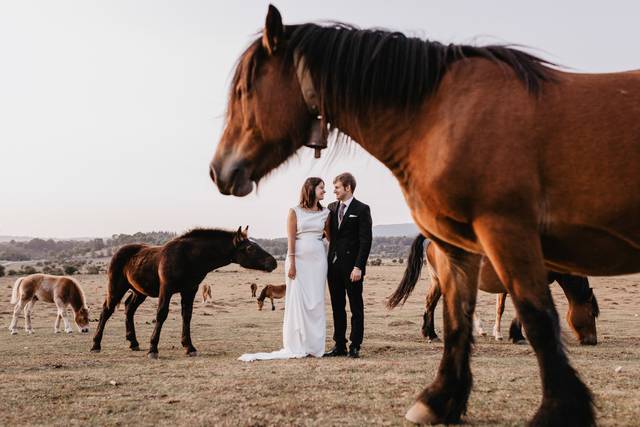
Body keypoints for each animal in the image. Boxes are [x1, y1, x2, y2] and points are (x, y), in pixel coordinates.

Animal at [91, 226, 276, 360]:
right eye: (250, 248)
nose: (273, 262)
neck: (188, 257)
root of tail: (120, 251)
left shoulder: (190, 290)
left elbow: (187, 315)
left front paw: (189, 347)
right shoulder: (166, 289)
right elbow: (161, 314)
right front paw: (153, 349)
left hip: (139, 291)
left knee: (129, 308)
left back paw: (133, 342)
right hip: (116, 287)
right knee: (106, 310)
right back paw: (96, 345)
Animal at [211, 5, 640, 426]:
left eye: (244, 90)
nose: (219, 171)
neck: (439, 116)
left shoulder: (501, 236)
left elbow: (525, 317)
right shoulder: (471, 244)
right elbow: (476, 319)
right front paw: (451, 400)